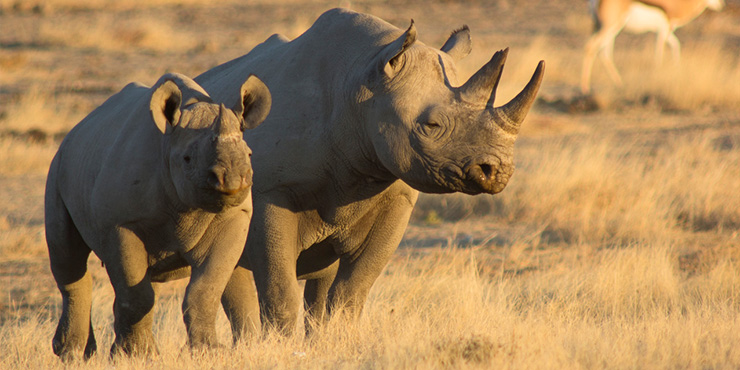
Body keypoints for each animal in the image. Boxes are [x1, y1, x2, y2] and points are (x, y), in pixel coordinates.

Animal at [43, 73, 270, 362]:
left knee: (150, 277)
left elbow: (205, 289)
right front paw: (135, 356)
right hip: (57, 167)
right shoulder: (121, 224)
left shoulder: (234, 216)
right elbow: (137, 294)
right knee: (69, 258)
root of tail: (74, 131)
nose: (231, 180)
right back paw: (74, 354)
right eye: (187, 159)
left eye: (249, 155)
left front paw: (207, 352)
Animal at [197, 8, 544, 336]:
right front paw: (277, 347)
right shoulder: (270, 192)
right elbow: (279, 290)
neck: (360, 85)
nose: (498, 172)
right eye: (431, 126)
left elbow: (351, 291)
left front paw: (339, 341)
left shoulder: (396, 195)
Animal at [584, 0, 724, 94]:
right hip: (611, 27)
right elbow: (659, 53)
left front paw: (676, 72)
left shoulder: (668, 33)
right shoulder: (662, 32)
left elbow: (676, 46)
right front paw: (658, 75)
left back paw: (620, 84)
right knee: (592, 46)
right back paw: (585, 88)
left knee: (604, 52)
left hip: (605, 29)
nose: (722, 4)